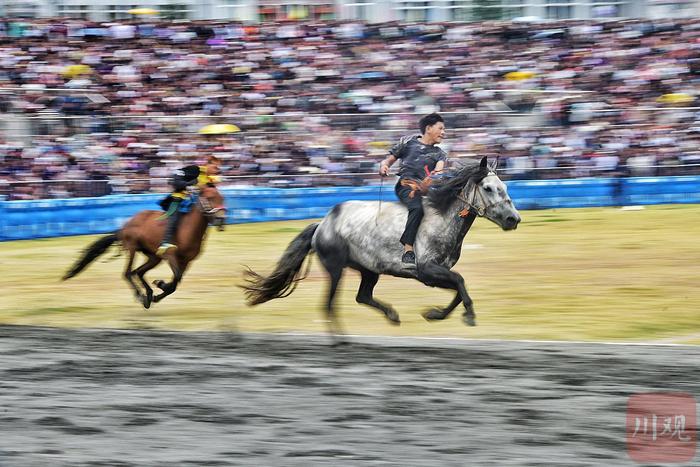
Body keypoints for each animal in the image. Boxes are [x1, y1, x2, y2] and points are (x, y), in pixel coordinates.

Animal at [62, 185, 226, 308]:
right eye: (210, 198)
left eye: (222, 198)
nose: (221, 220)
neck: (186, 229)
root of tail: (125, 226)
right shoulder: (170, 255)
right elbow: (175, 279)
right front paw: (160, 284)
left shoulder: (186, 260)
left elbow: (176, 282)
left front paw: (159, 289)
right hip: (133, 248)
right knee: (128, 273)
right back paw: (141, 295)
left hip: (153, 257)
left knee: (138, 272)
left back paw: (148, 295)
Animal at [242, 158, 520, 336]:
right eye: (488, 188)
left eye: (505, 187)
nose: (513, 219)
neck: (441, 218)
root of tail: (322, 223)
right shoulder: (426, 271)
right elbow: (461, 282)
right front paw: (469, 316)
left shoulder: (435, 274)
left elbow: (458, 290)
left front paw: (433, 314)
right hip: (335, 269)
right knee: (329, 305)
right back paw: (341, 339)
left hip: (369, 270)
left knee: (362, 296)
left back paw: (392, 316)